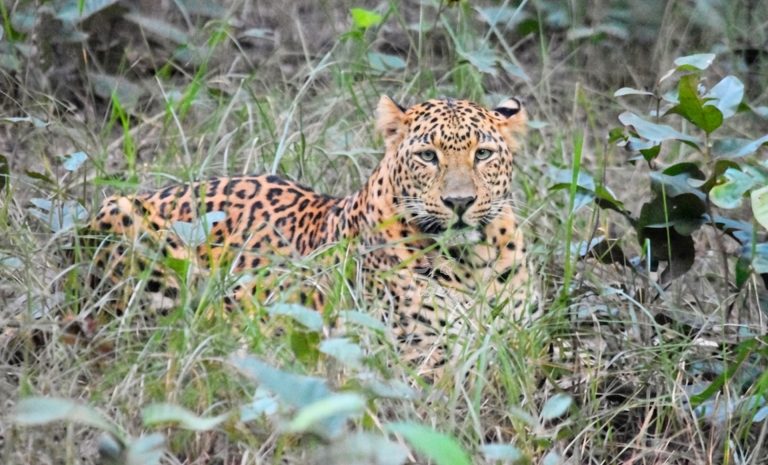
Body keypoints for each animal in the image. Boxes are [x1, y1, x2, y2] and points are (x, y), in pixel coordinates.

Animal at [89, 95, 533, 376]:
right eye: (428, 156)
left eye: (482, 154)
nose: (459, 201)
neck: (472, 263)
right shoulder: (418, 359)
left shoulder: (522, 346)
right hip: (123, 216)